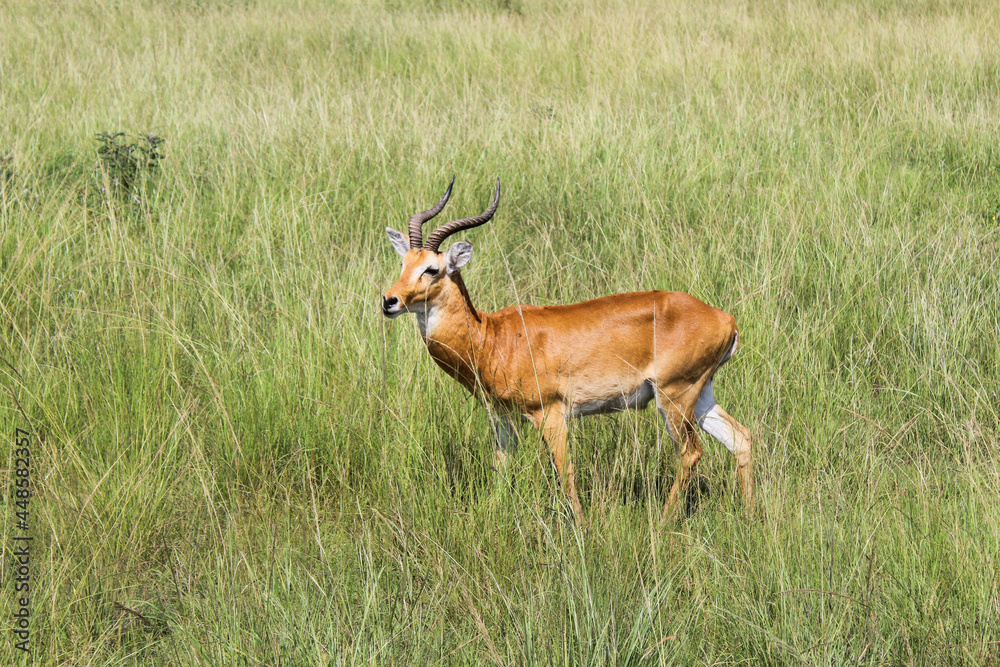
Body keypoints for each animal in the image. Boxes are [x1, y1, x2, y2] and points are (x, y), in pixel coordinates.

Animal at [382, 179, 752, 520]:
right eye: (403, 264)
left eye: (433, 269)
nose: (389, 301)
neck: (491, 337)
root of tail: (725, 318)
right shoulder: (503, 418)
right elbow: (501, 467)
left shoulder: (551, 413)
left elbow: (565, 471)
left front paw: (581, 528)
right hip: (700, 396)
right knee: (741, 437)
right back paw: (749, 513)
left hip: (674, 398)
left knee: (691, 454)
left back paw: (663, 523)